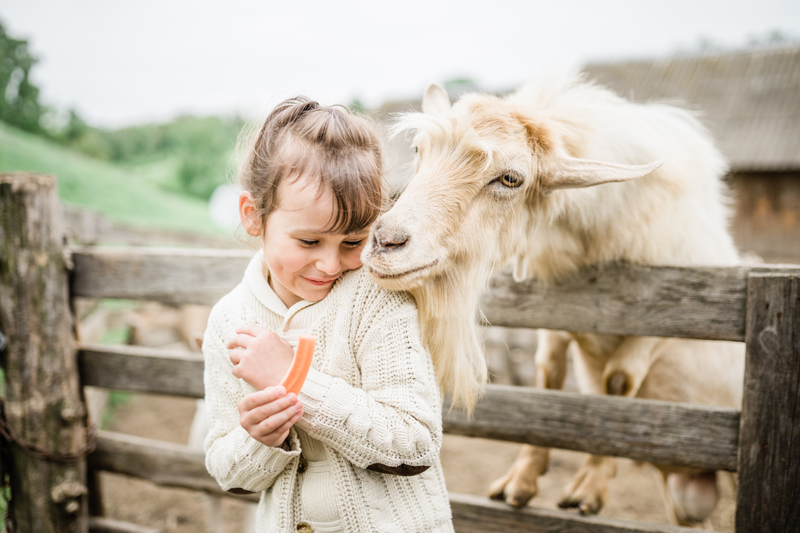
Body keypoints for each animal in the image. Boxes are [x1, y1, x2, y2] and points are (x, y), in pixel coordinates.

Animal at [360, 77, 748, 524]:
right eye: (419, 151)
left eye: (511, 178)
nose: (386, 241)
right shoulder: (557, 311)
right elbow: (548, 372)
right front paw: (520, 481)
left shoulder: (667, 314)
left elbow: (619, 380)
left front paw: (589, 489)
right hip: (685, 496)